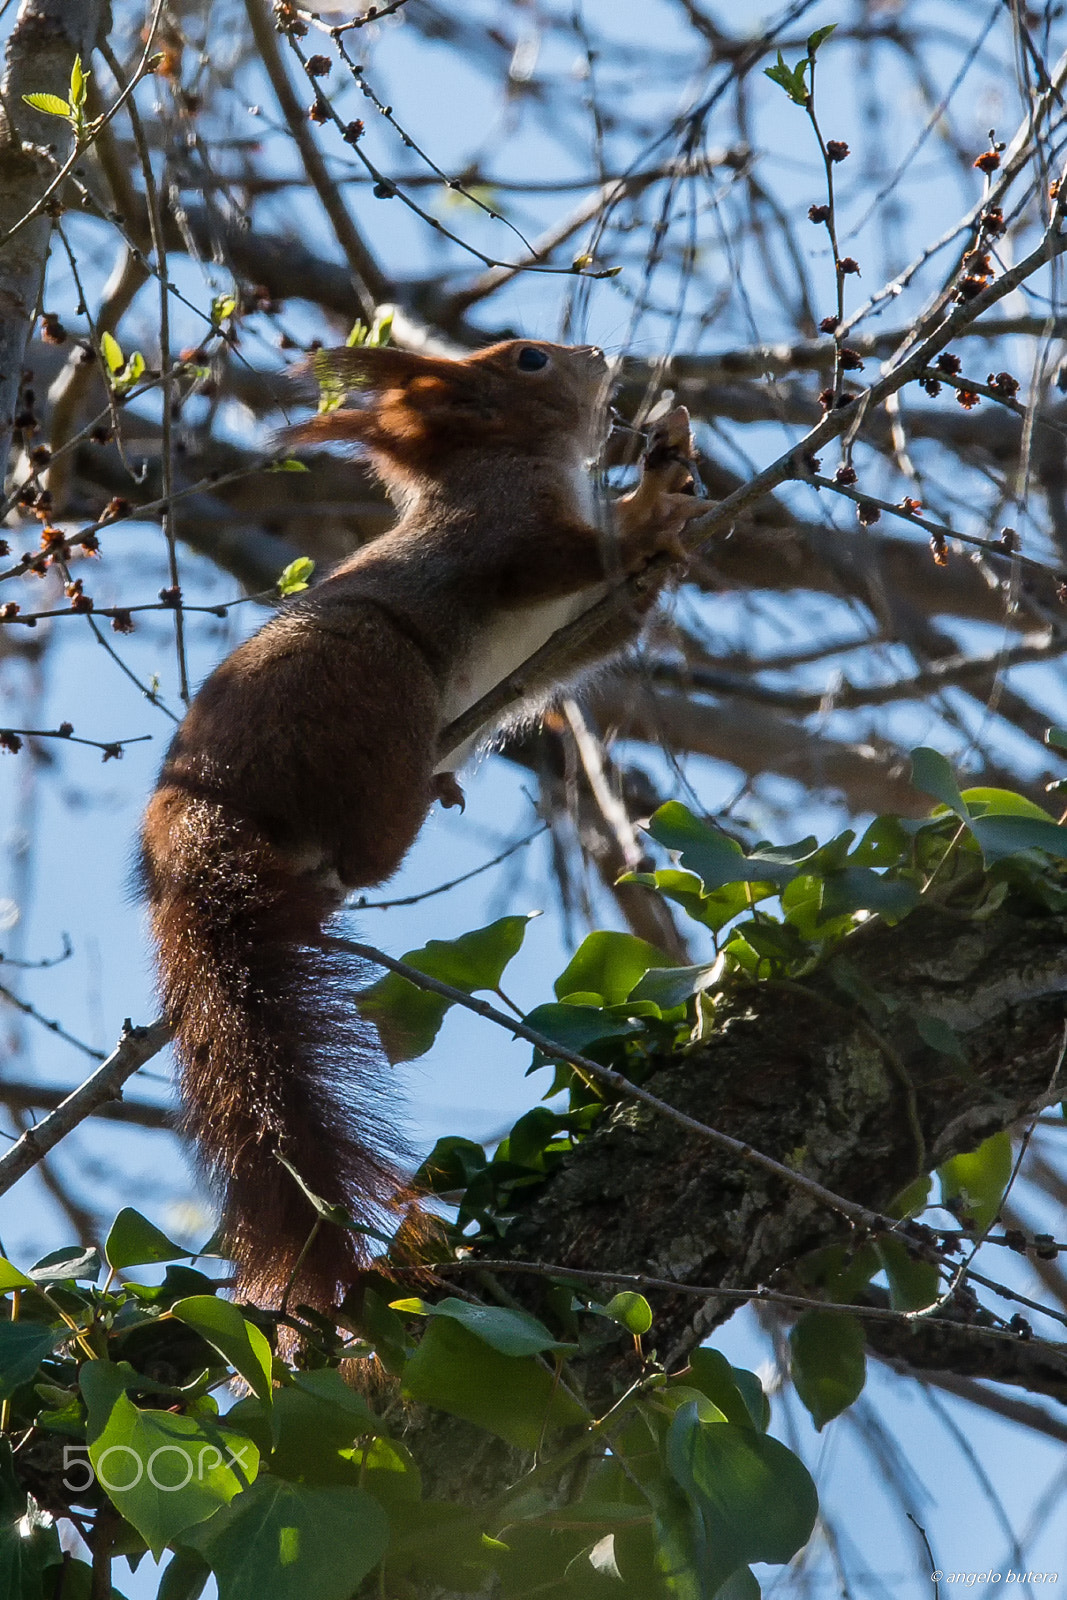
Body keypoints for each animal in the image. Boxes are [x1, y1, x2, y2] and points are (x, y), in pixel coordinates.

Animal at [139, 337, 710, 1312]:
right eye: (528, 360)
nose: (601, 353)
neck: (510, 463)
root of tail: (193, 827)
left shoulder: (578, 624)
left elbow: (611, 623)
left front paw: (672, 476)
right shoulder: (499, 538)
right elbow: (560, 556)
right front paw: (648, 506)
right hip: (373, 681)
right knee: (365, 833)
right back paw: (396, 823)